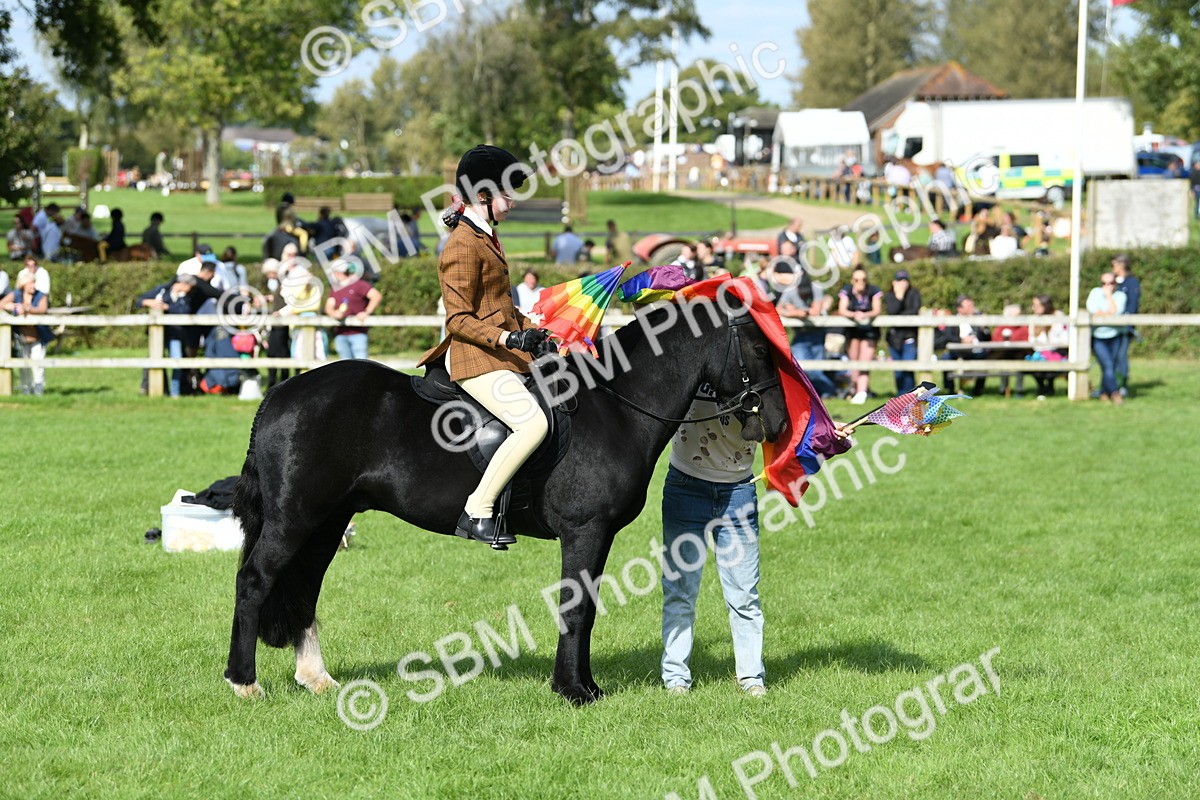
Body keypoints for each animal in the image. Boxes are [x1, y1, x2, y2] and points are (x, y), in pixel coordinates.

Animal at [224, 290, 789, 705]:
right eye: (760, 350)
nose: (779, 425)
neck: (616, 406)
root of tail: (281, 394)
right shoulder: (585, 532)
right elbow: (576, 608)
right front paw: (573, 690)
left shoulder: (597, 537)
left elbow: (585, 606)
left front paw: (584, 684)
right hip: (294, 519)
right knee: (254, 580)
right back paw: (244, 682)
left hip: (326, 522)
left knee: (304, 589)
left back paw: (315, 678)